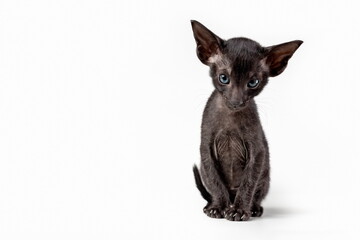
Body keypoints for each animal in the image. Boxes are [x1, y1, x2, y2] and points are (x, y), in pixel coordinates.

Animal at [190, 20, 302, 221]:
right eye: (224, 78)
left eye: (253, 83)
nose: (237, 102)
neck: (231, 117)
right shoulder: (205, 148)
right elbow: (215, 182)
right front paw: (218, 207)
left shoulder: (258, 151)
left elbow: (249, 183)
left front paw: (240, 210)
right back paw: (213, 205)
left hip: (265, 176)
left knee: (256, 193)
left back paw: (253, 208)